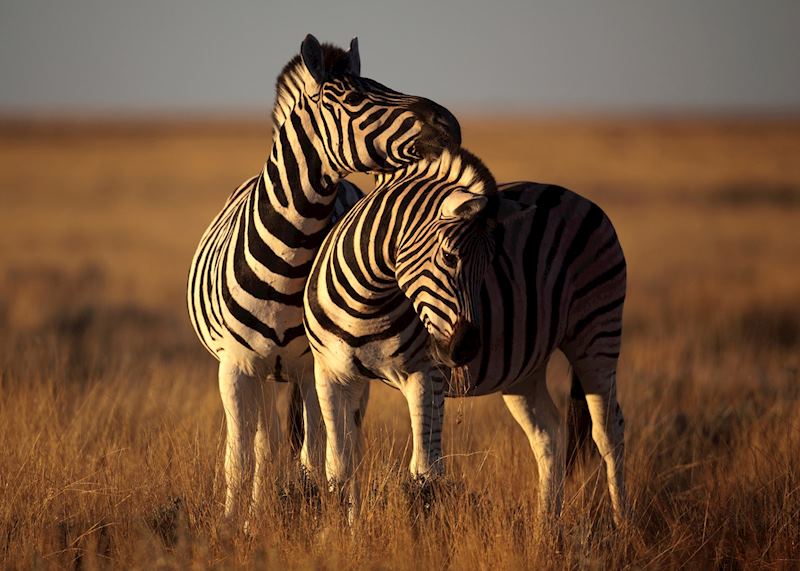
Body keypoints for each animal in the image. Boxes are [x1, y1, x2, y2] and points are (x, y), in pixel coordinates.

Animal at [187, 34, 461, 522]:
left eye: (382, 84)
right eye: (354, 99)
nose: (447, 122)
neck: (290, 255)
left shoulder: (316, 366)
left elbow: (317, 456)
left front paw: (320, 516)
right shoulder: (235, 367)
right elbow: (239, 458)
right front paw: (235, 525)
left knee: (333, 443)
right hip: (267, 373)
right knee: (266, 444)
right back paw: (257, 514)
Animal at [303, 147, 627, 526]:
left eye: (489, 264)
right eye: (448, 256)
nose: (468, 347)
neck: (365, 300)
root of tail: (577, 197)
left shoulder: (424, 375)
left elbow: (424, 473)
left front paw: (418, 535)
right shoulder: (331, 374)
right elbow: (340, 468)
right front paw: (346, 534)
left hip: (598, 330)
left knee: (609, 431)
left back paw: (624, 526)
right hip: (524, 367)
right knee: (549, 434)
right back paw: (546, 528)